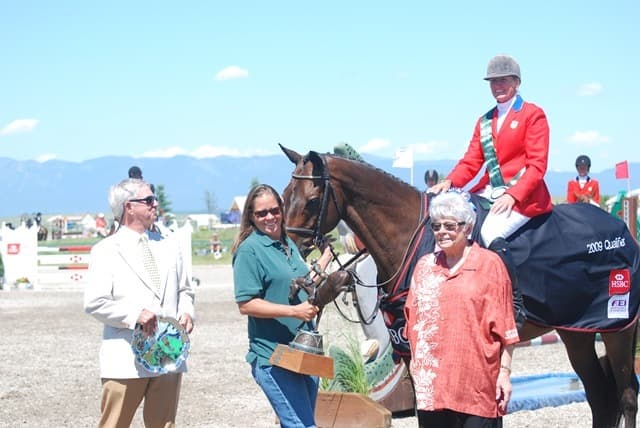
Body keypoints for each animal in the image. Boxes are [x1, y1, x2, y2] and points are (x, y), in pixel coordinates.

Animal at [280, 146, 640, 428]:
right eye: (284, 196)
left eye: (312, 200)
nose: (290, 247)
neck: (415, 239)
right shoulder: (408, 347)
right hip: (575, 332)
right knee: (599, 396)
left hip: (617, 328)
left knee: (626, 395)